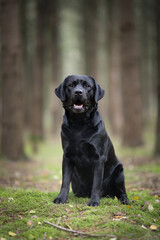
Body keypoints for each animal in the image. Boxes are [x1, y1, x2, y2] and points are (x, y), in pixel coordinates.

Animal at [53, 75, 129, 206]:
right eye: (71, 85)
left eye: (87, 86)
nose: (78, 92)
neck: (79, 123)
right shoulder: (67, 156)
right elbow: (65, 181)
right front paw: (61, 198)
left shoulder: (98, 158)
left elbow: (96, 183)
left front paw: (94, 201)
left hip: (119, 172)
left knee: (121, 192)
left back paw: (125, 200)